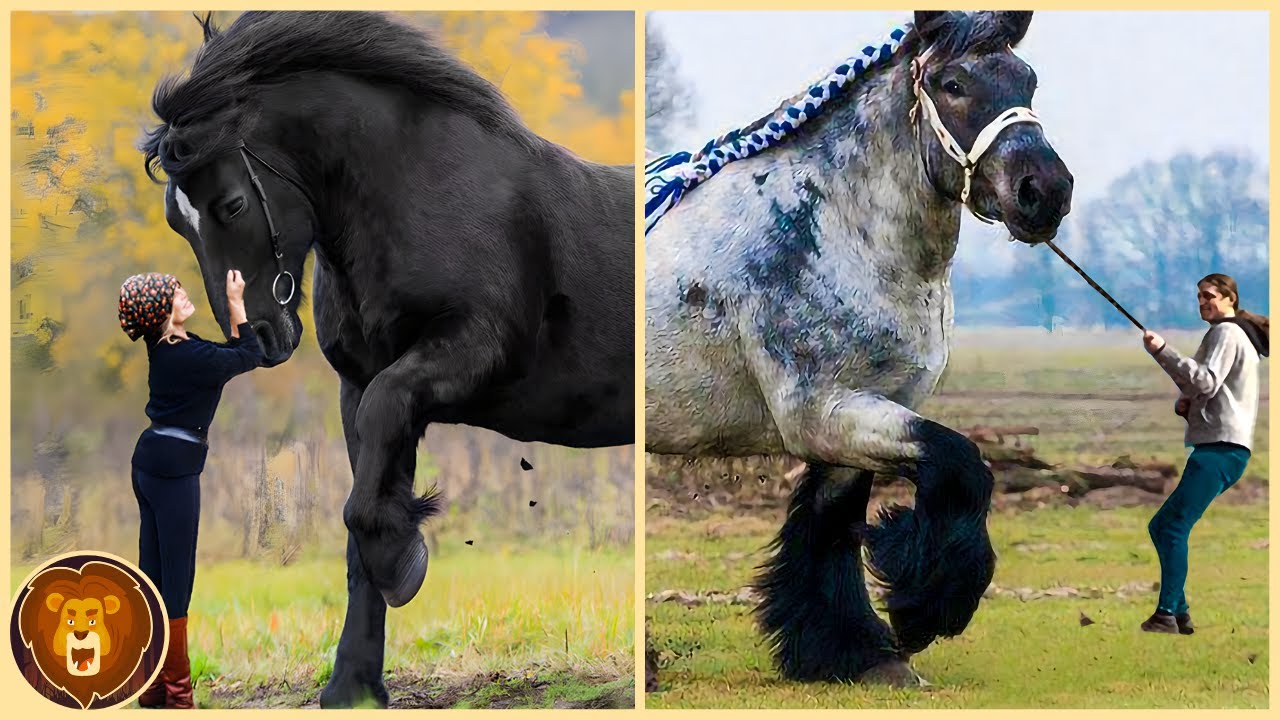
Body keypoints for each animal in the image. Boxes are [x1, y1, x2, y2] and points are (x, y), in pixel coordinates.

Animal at [141, 11, 634, 708]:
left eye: (231, 205)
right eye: (176, 220)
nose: (257, 334)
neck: (424, 195)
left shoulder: (464, 355)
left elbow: (366, 502)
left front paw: (402, 563)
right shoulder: (363, 387)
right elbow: (359, 519)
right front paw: (352, 684)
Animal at [644, 10, 1072, 686]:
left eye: (1028, 80)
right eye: (952, 84)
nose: (1044, 191)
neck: (841, 226)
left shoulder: (861, 411)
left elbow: (833, 523)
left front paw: (856, 653)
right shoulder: (823, 412)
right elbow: (962, 464)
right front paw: (926, 608)